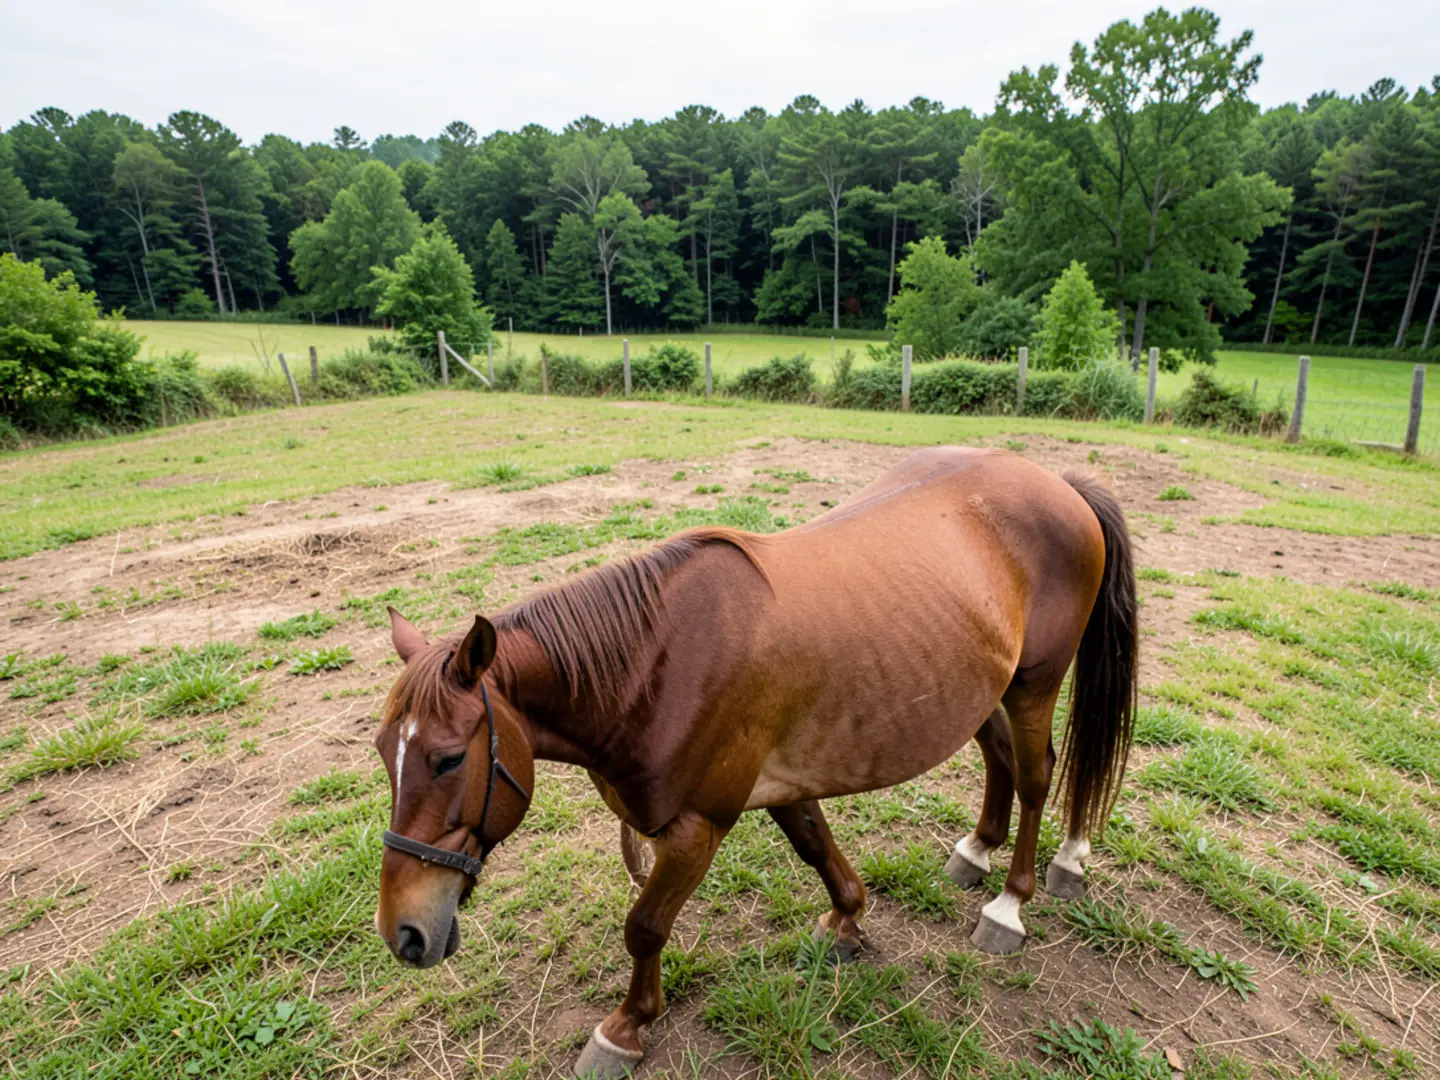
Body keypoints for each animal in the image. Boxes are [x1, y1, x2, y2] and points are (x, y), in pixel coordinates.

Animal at [372, 445, 1137, 1078]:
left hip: (1035, 681)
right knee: (1003, 759)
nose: (404, 933)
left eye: (446, 759)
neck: (653, 667)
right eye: (384, 753)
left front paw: (625, 1028)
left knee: (1038, 774)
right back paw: (982, 850)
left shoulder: (697, 826)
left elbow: (645, 926)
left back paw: (1013, 900)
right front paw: (847, 921)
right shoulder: (778, 784)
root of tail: (1059, 483)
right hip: (979, 687)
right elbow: (816, 847)